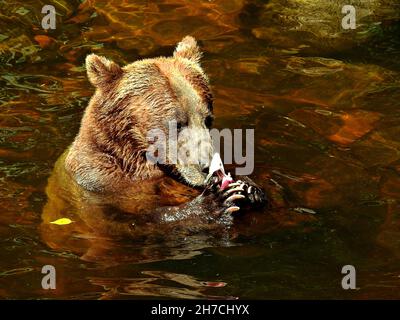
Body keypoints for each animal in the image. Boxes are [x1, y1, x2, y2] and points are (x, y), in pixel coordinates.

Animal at [40, 36, 266, 260]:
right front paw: (214, 202)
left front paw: (248, 187)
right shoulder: (98, 185)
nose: (207, 166)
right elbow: (127, 224)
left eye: (207, 119)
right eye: (177, 123)